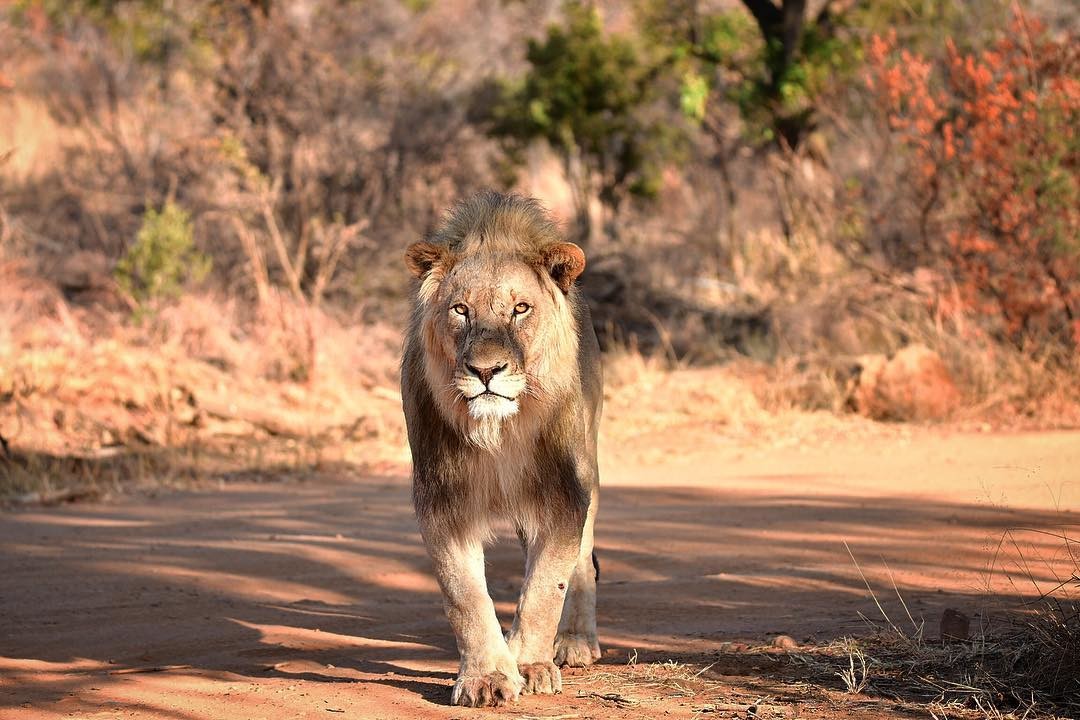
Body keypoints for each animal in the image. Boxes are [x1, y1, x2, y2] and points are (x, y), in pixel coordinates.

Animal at [401, 191, 604, 708]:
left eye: (520, 308)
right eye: (460, 310)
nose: (486, 371)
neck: (499, 433)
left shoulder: (563, 494)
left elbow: (546, 587)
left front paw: (530, 665)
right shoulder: (444, 500)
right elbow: (465, 597)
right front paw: (487, 677)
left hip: (589, 466)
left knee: (582, 564)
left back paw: (573, 641)